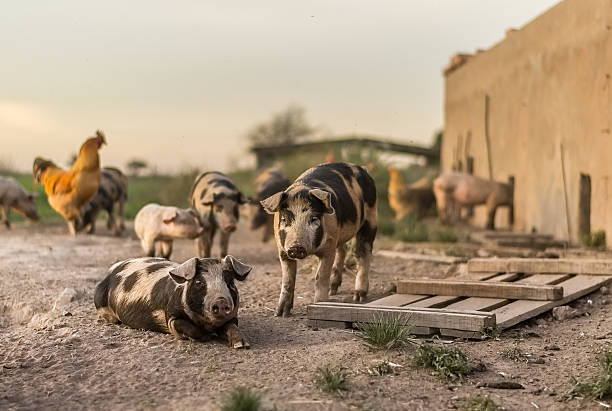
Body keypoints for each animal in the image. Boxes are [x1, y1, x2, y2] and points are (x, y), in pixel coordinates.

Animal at [93, 256, 251, 350]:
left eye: (230, 282)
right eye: (199, 282)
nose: (221, 300)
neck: (207, 324)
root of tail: (113, 268)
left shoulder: (232, 317)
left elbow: (232, 327)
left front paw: (241, 345)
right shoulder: (171, 316)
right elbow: (190, 329)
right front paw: (207, 336)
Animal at [260, 163, 376, 318]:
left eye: (314, 218)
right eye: (284, 219)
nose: (296, 246)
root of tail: (363, 169)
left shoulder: (328, 248)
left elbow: (320, 277)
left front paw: (319, 304)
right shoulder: (283, 251)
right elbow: (287, 280)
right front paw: (280, 314)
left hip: (371, 219)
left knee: (363, 253)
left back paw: (358, 297)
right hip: (340, 236)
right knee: (342, 250)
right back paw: (333, 290)